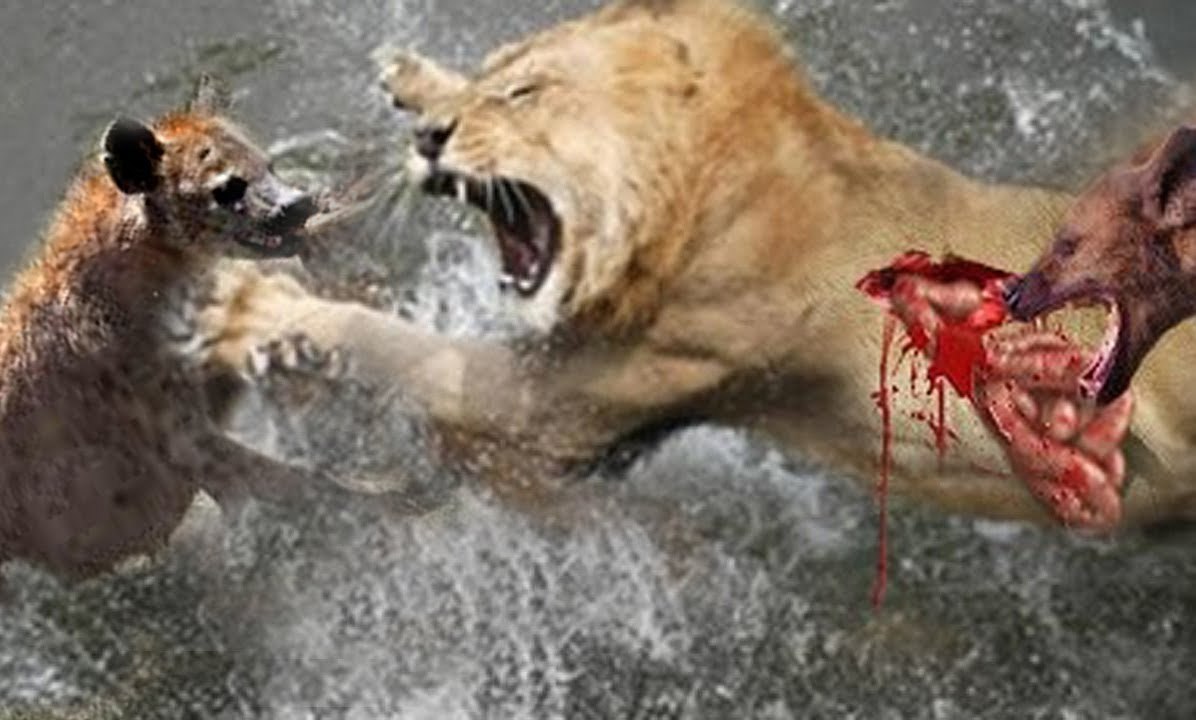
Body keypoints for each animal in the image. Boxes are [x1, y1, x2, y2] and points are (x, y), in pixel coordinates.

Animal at [199, 0, 1196, 529]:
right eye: (497, 77)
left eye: (524, 94)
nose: (429, 139)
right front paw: (411, 75)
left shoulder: (559, 408)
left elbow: (397, 347)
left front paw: (253, 310)